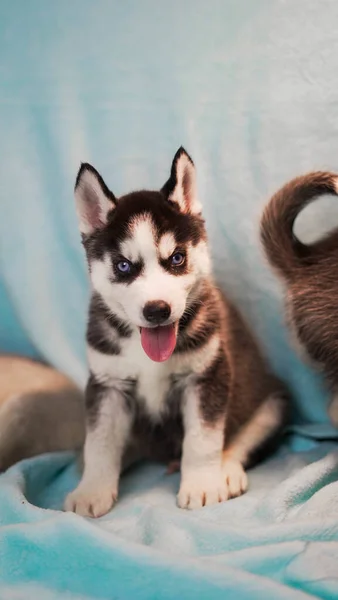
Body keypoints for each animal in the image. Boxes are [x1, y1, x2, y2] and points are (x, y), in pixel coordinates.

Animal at [62, 148, 288, 516]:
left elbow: (203, 439)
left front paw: (201, 485)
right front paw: (92, 490)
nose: (157, 310)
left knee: (240, 439)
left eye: (177, 258)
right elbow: (99, 442)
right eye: (123, 266)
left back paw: (226, 472)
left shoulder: (207, 376)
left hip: (274, 403)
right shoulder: (108, 384)